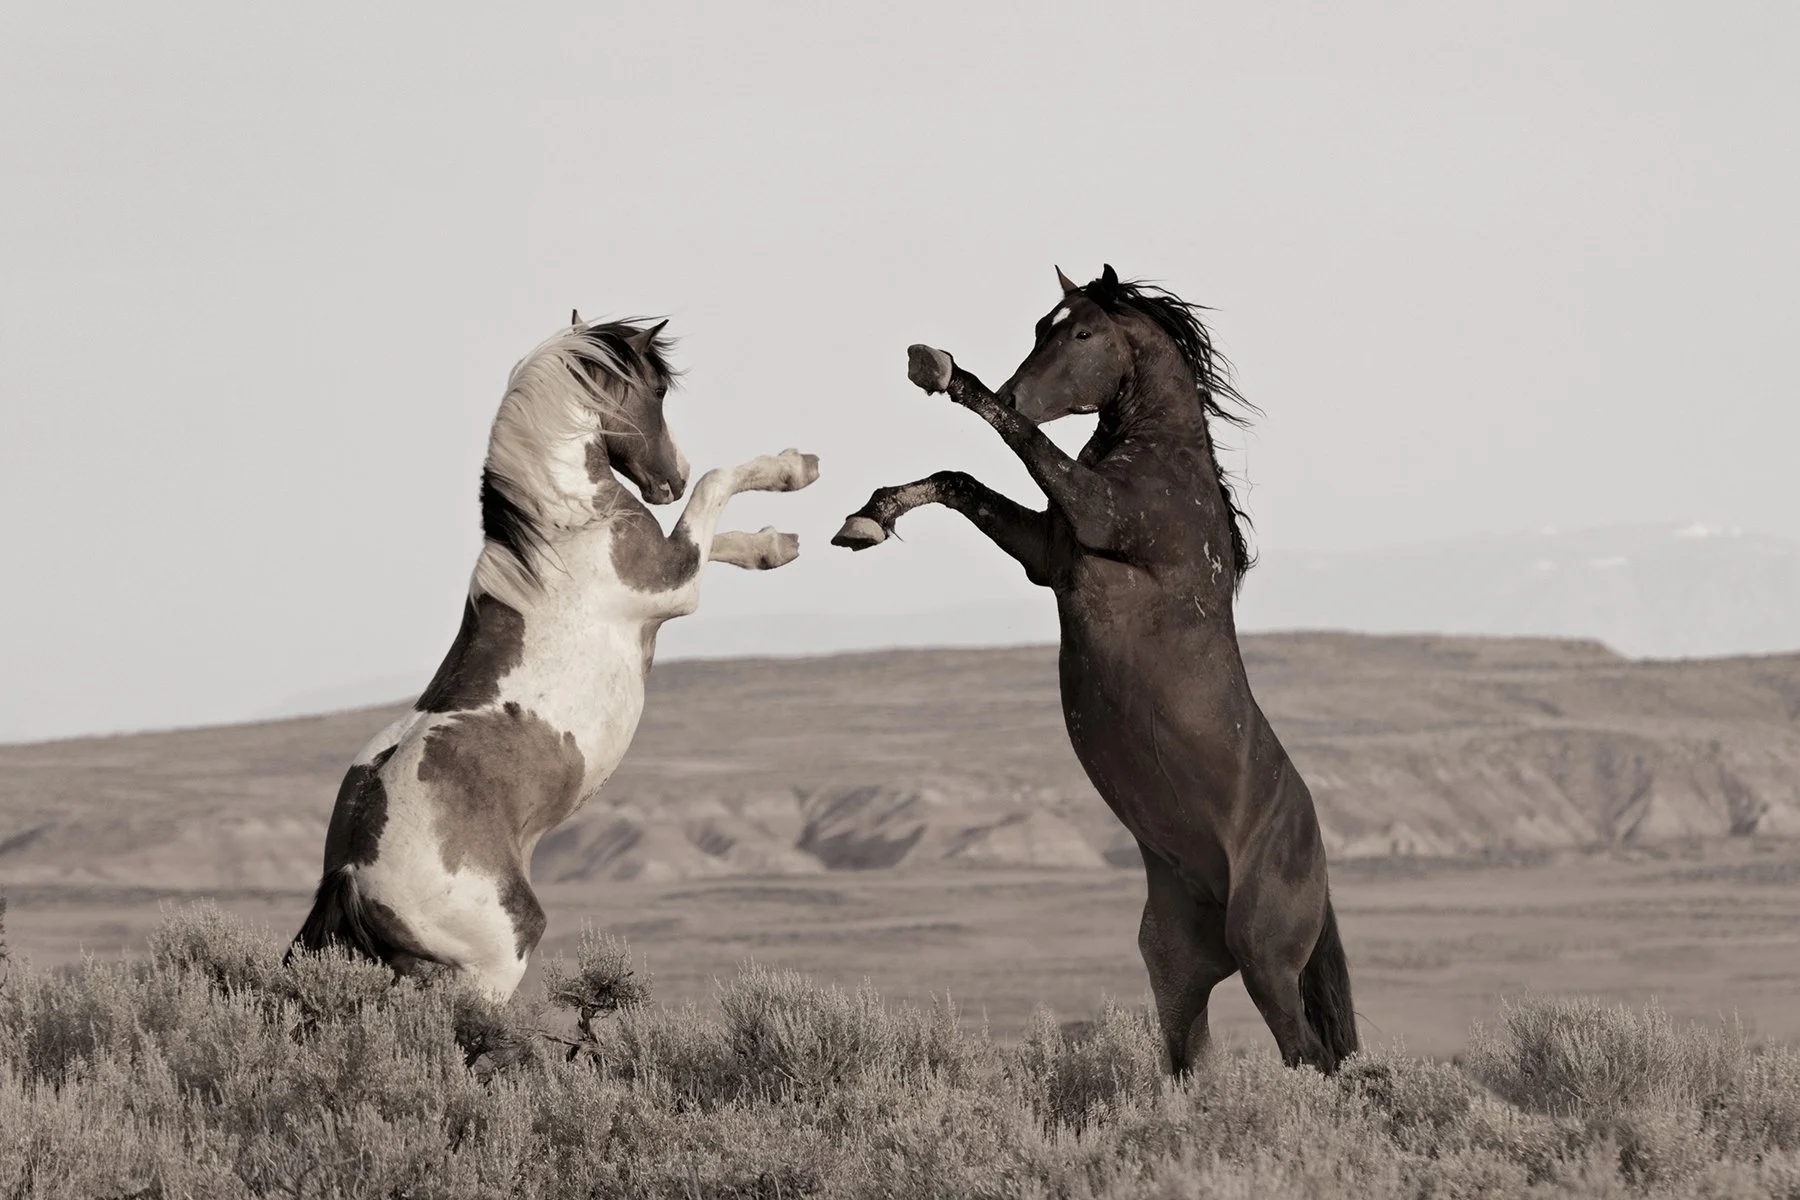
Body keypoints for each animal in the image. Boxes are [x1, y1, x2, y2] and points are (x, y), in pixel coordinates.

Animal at [289, 312, 820, 999]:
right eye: (657, 392)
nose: (671, 475)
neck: (566, 528)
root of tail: (353, 870)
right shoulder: (675, 583)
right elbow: (714, 491)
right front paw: (794, 468)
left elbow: (720, 532)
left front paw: (775, 545)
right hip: (496, 960)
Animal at [832, 267, 1356, 1074]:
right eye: (1040, 327)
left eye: (1080, 332)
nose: (1017, 391)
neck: (1164, 461)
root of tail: (1317, 863)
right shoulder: (1046, 552)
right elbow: (958, 480)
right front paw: (868, 519)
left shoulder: (1098, 516)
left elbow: (1019, 445)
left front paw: (943, 371)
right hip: (1177, 964)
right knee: (1190, 1056)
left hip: (1265, 957)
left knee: (1309, 1056)